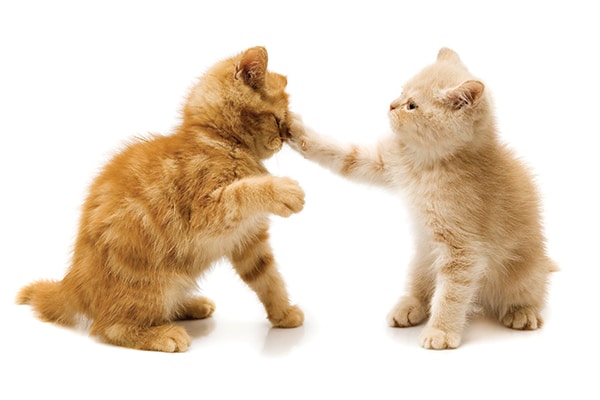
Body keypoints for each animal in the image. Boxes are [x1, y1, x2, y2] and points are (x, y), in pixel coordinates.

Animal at [17, 47, 304, 354]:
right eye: (277, 120)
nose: (285, 138)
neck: (218, 139)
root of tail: (72, 284)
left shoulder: (248, 238)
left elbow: (268, 277)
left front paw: (283, 313)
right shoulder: (205, 213)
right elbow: (241, 192)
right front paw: (283, 191)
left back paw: (190, 305)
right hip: (153, 280)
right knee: (109, 327)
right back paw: (161, 334)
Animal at [288, 47, 556, 350]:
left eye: (412, 106)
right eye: (401, 92)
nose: (391, 105)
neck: (425, 164)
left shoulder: (462, 250)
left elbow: (450, 293)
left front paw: (440, 331)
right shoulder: (386, 162)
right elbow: (345, 155)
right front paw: (297, 132)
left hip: (523, 272)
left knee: (530, 292)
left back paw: (522, 312)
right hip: (422, 256)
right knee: (421, 286)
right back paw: (409, 306)